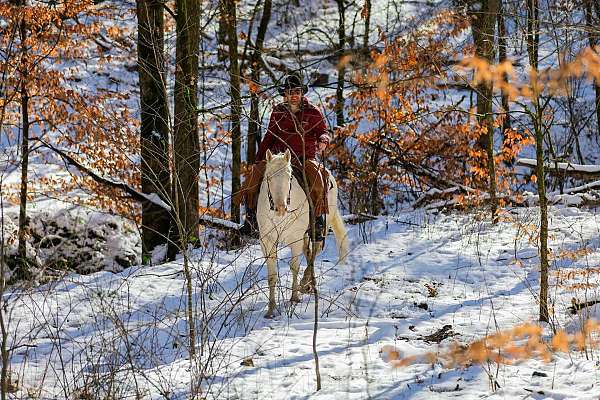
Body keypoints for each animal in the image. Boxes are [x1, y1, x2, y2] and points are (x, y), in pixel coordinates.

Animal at [255, 148, 350, 318]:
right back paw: (308, 283)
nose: (281, 208)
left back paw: (305, 283)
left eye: (289, 176)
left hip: (320, 226)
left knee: (315, 251)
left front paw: (294, 297)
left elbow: (294, 267)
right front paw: (271, 309)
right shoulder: (267, 241)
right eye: (269, 177)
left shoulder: (295, 239)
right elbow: (272, 276)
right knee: (308, 252)